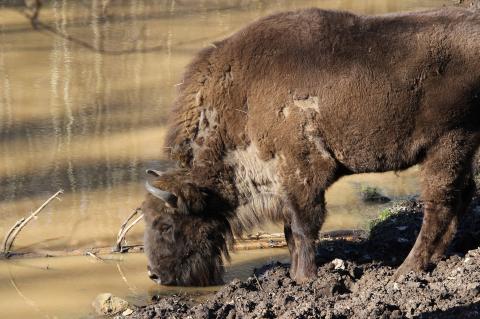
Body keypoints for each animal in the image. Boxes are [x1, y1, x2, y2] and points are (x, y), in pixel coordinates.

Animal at [141, 6, 480, 286]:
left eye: (166, 224)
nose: (154, 274)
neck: (242, 99)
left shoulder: (303, 172)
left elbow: (304, 228)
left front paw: (305, 278)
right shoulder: (284, 183)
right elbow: (291, 231)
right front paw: (293, 275)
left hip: (449, 143)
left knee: (439, 205)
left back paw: (404, 271)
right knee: (460, 198)